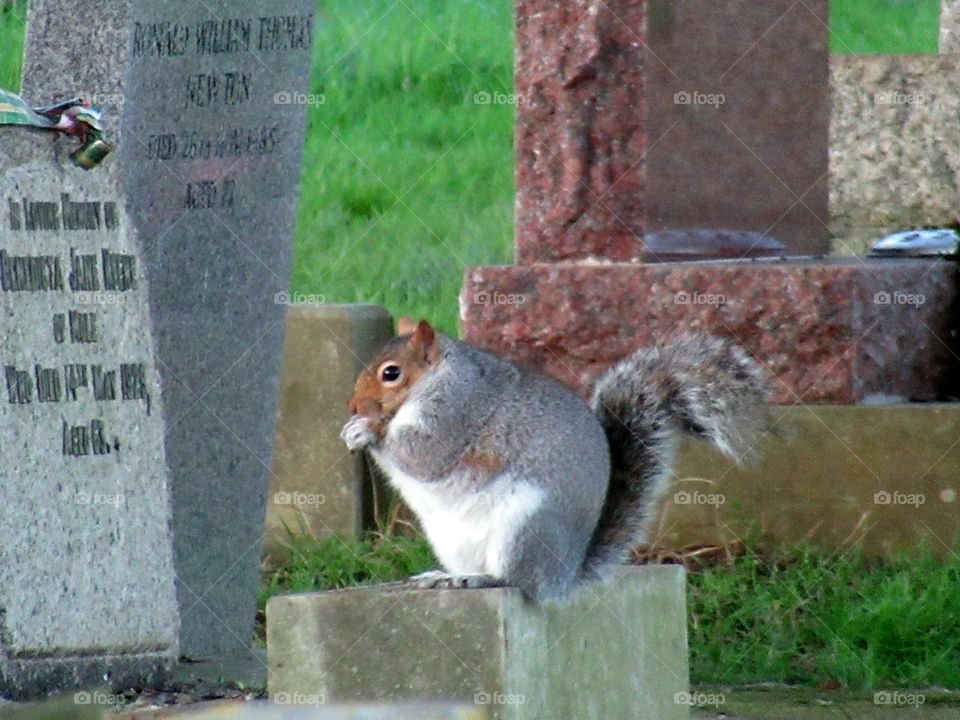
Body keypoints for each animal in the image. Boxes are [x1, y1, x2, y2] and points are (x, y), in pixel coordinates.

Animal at [342, 318, 768, 604]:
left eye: (391, 373)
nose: (352, 406)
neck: (439, 377)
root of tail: (566, 574)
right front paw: (353, 428)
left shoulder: (457, 409)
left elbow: (424, 454)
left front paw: (367, 431)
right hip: (454, 542)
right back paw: (448, 577)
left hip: (526, 527)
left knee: (519, 580)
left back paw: (482, 581)